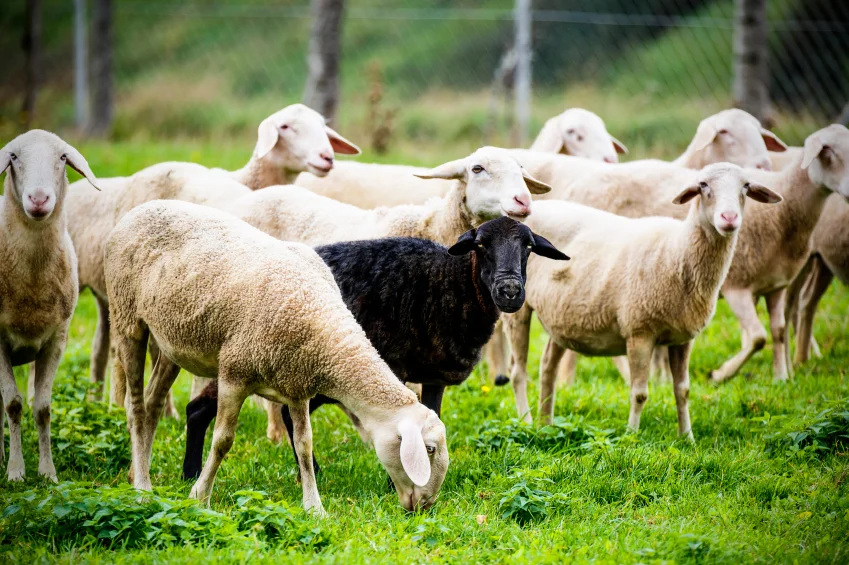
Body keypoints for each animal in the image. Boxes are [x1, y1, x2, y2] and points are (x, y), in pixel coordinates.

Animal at [0, 130, 99, 481]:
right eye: (13, 157)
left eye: (62, 157)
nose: (39, 199)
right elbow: (13, 404)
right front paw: (15, 471)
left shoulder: (56, 340)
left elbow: (42, 408)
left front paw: (47, 472)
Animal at [64, 104, 359, 407]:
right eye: (285, 127)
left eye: (323, 126)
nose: (327, 157)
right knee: (122, 350)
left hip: (119, 294)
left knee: (104, 345)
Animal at [105, 200, 448, 515]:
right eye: (429, 450)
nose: (425, 506)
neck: (323, 326)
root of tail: (142, 207)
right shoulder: (234, 372)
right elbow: (223, 440)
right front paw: (200, 496)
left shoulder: (296, 385)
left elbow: (304, 445)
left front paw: (314, 508)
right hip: (127, 318)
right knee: (136, 407)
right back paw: (142, 489)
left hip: (170, 343)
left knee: (153, 404)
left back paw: (138, 472)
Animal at [180, 217, 569, 480]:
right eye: (481, 245)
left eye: (529, 248)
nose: (509, 291)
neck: (452, 285)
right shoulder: (395, 370)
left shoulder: (434, 375)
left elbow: (432, 416)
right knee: (200, 410)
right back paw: (191, 474)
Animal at [503, 163, 783, 430]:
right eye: (703, 185)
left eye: (746, 186)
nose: (729, 218)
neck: (678, 250)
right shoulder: (639, 332)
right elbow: (639, 393)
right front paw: (632, 434)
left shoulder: (683, 337)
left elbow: (683, 391)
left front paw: (687, 436)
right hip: (518, 309)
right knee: (518, 372)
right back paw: (526, 421)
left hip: (560, 317)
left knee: (547, 368)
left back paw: (546, 424)